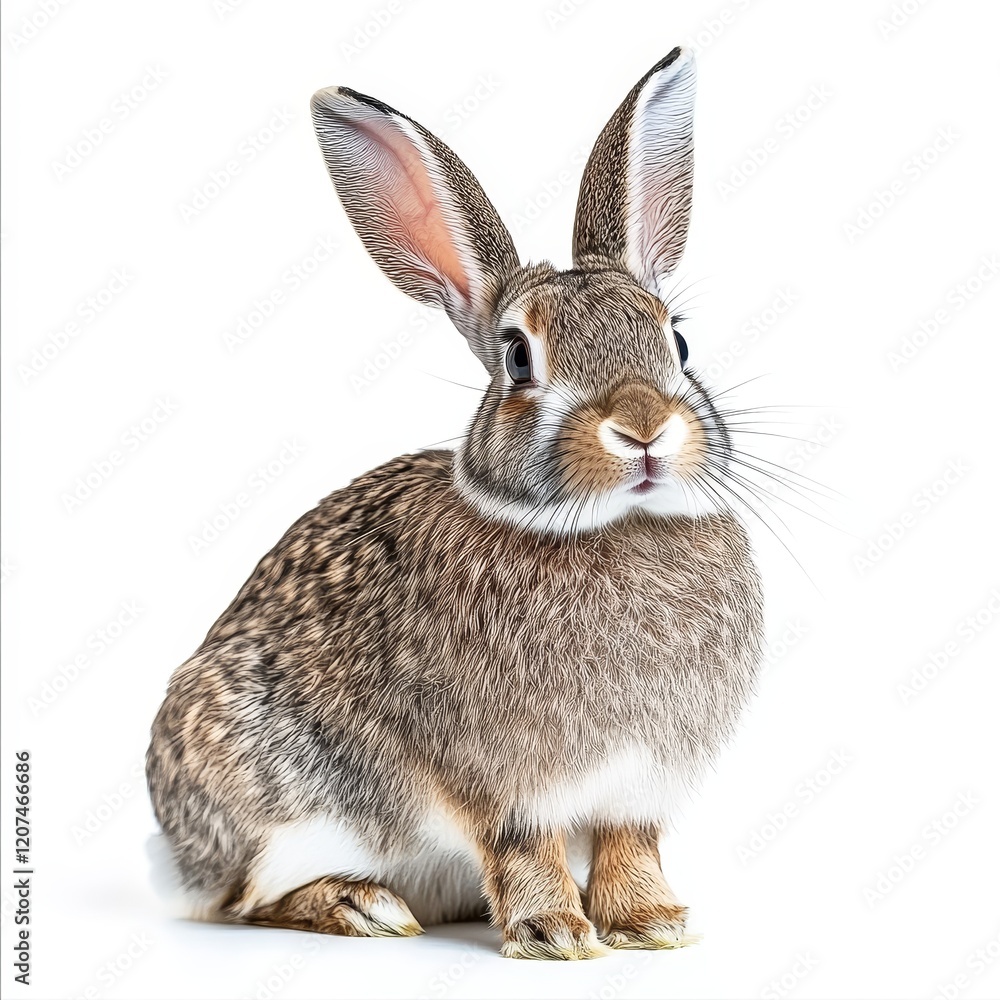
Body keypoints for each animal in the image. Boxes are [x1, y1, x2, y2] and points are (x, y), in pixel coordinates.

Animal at [146, 46, 764, 961]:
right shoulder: (497, 779)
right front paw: (555, 935)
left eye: (677, 340)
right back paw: (363, 907)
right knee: (245, 900)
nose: (643, 428)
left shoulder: (639, 785)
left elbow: (630, 845)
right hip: (274, 802)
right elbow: (524, 846)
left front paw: (652, 925)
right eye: (517, 357)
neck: (604, 525)